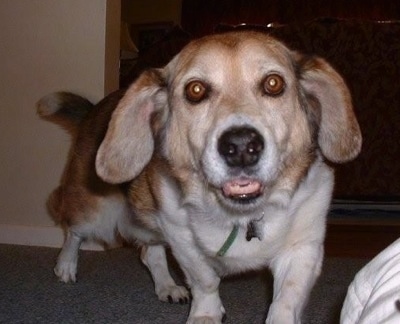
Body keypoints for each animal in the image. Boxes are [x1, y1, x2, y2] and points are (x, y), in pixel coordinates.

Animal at [37, 31, 362, 324]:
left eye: (273, 83)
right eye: (195, 90)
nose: (241, 147)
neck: (241, 216)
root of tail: (96, 110)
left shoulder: (303, 248)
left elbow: (285, 301)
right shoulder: (181, 237)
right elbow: (205, 280)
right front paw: (206, 314)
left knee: (149, 254)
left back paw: (167, 286)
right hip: (98, 214)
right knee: (73, 231)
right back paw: (65, 266)